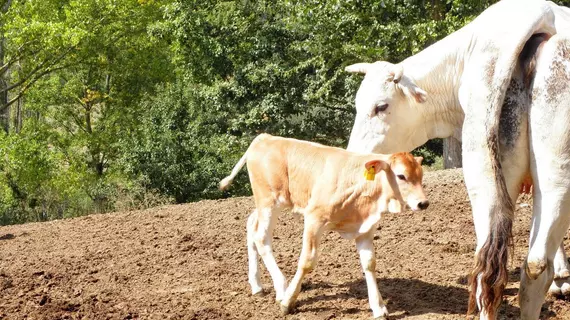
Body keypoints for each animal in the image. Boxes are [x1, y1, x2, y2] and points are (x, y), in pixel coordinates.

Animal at [217, 134, 426, 318]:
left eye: (421, 175)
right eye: (401, 176)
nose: (423, 203)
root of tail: (265, 137)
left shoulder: (365, 229)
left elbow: (369, 263)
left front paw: (379, 307)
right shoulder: (313, 219)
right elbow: (307, 261)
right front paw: (288, 302)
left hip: (267, 204)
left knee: (251, 224)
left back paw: (257, 286)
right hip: (269, 200)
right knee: (261, 237)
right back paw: (282, 289)